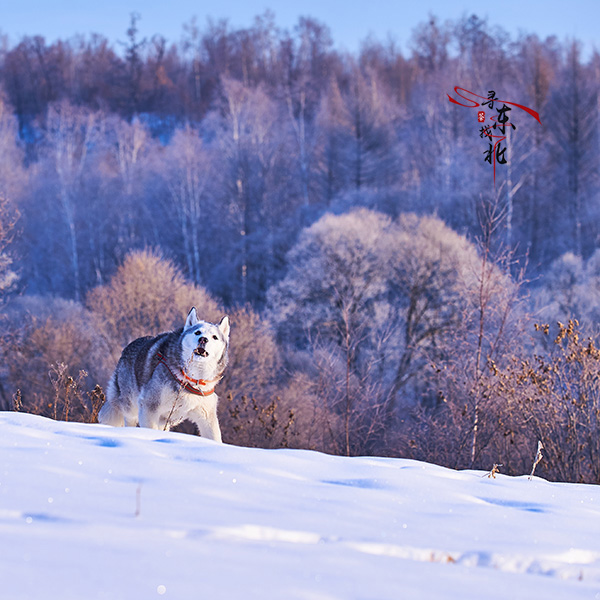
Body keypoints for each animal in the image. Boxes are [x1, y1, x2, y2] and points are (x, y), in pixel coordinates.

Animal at [98, 310, 230, 440]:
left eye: (214, 337)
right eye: (197, 332)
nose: (203, 339)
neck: (191, 378)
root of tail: (127, 348)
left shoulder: (207, 416)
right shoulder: (149, 406)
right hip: (130, 405)